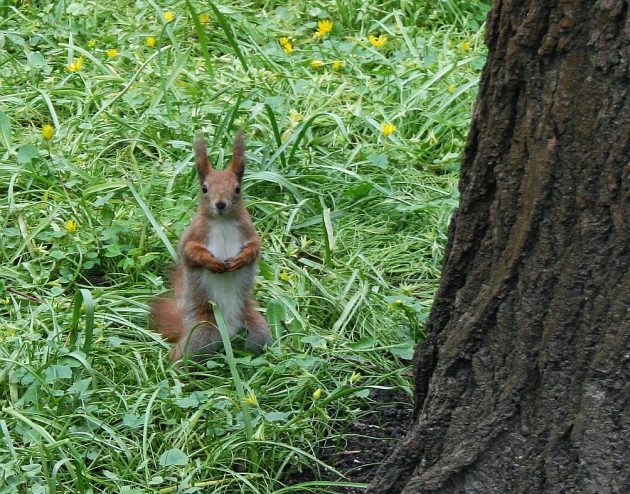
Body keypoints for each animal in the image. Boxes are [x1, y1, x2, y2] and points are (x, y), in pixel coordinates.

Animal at [154, 131, 274, 362]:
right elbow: (190, 252)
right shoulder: (192, 236)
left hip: (256, 329)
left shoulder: (249, 233)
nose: (220, 204)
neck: (222, 222)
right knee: (182, 356)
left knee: (259, 342)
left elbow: (255, 249)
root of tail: (229, 333)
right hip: (201, 333)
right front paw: (212, 262)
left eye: (237, 188)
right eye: (204, 189)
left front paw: (240, 260)